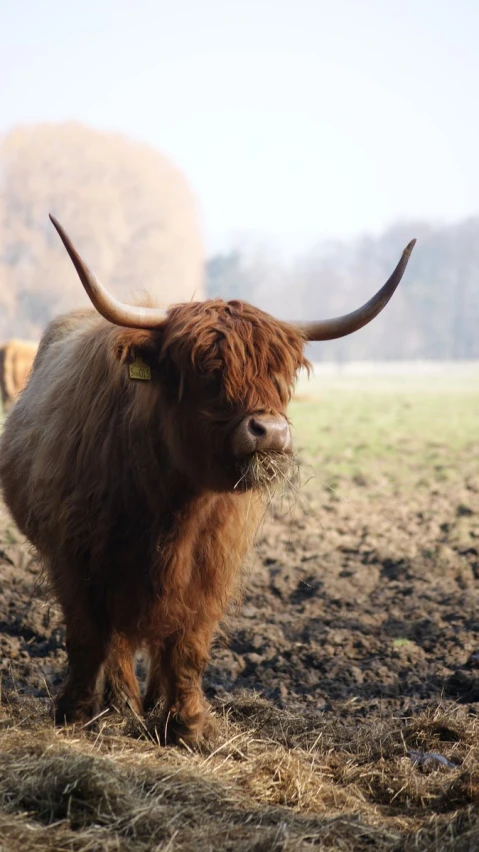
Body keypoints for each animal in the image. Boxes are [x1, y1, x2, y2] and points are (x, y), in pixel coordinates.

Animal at [0, 216, 416, 744]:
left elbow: (188, 645)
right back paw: (120, 706)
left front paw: (188, 724)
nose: (270, 431)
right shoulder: (74, 557)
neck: (171, 504)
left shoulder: (213, 566)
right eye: (205, 371)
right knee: (116, 640)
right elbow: (89, 637)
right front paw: (78, 714)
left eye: (281, 375)